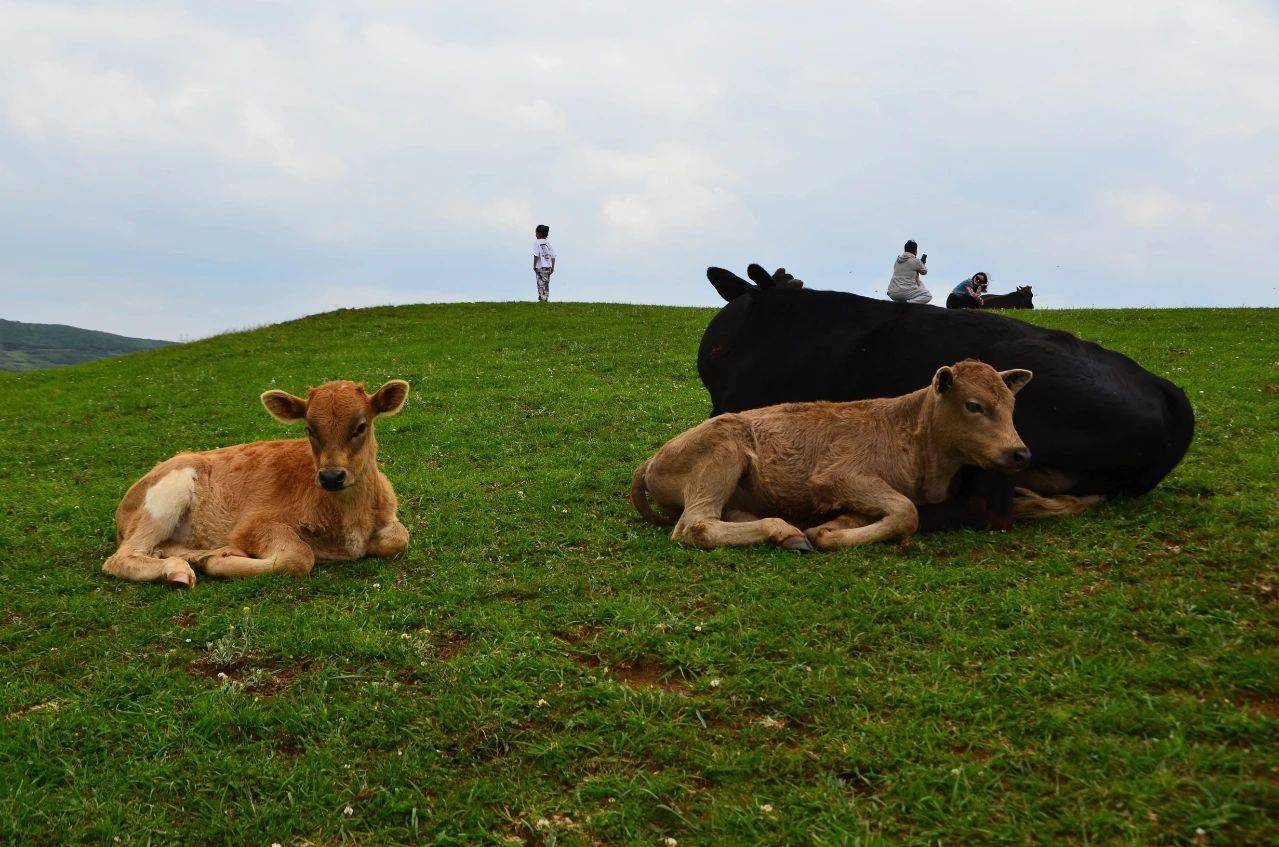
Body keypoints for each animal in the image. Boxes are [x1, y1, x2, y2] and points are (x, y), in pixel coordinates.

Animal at [108, 381, 414, 588]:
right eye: (309, 429)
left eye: (361, 426)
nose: (331, 477)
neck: (348, 520)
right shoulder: (253, 524)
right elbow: (299, 557)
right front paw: (218, 561)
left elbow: (400, 537)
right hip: (166, 495)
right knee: (121, 557)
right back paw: (179, 568)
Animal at [634, 360, 1033, 555]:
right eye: (974, 405)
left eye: (1012, 405)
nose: (1020, 453)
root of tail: (650, 462)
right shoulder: (837, 477)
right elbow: (907, 512)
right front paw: (830, 537)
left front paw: (832, 527)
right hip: (722, 452)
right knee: (695, 525)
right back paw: (782, 531)